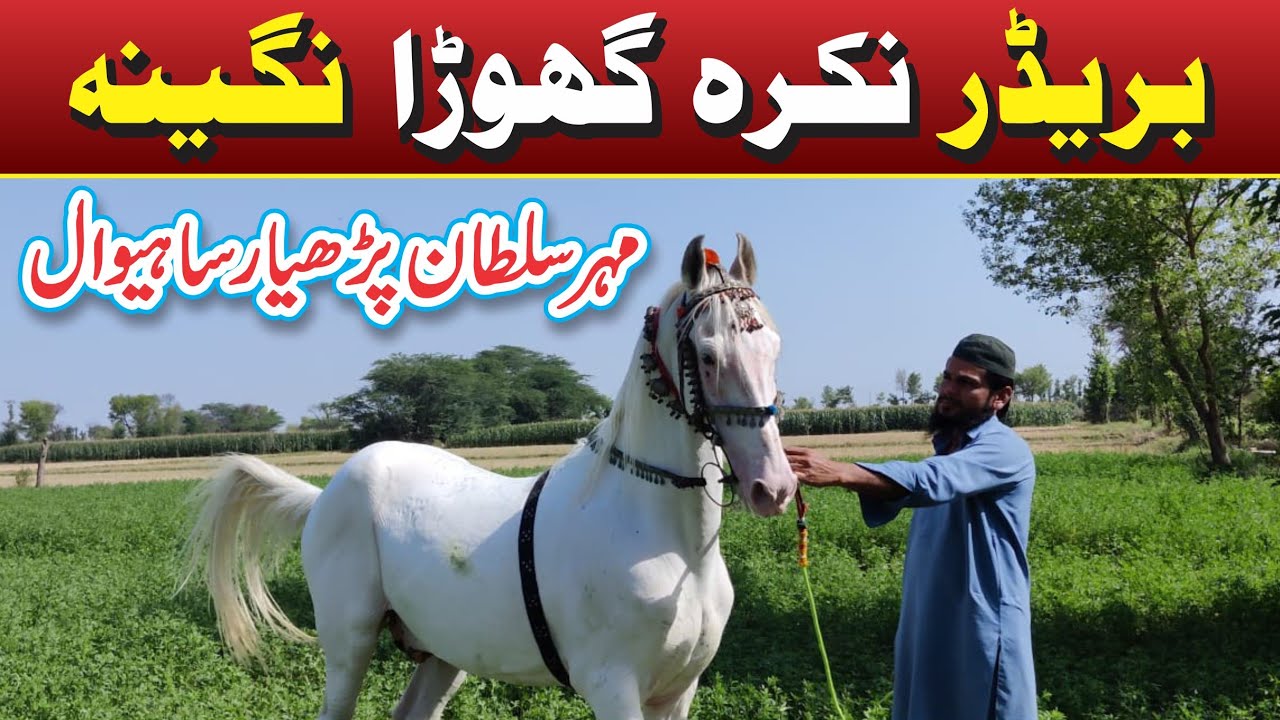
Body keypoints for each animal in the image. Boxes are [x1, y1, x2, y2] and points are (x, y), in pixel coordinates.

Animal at [179, 234, 798, 720]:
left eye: (774, 346)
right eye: (709, 355)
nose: (773, 488)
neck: (670, 545)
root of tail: (327, 493)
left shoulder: (677, 692)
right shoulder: (613, 687)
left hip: (442, 653)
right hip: (348, 643)